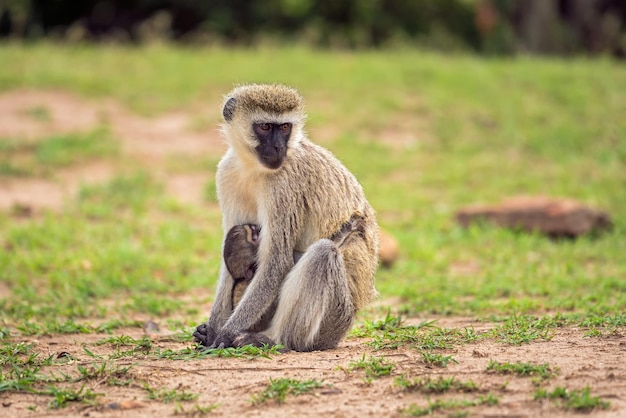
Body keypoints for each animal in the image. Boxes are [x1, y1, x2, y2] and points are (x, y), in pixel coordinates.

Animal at [193, 83, 378, 352]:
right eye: (265, 127)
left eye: (284, 128)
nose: (279, 147)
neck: (252, 167)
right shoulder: (226, 173)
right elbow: (230, 266)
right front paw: (213, 330)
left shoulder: (284, 183)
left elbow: (277, 261)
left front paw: (224, 335)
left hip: (334, 322)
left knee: (322, 253)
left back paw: (276, 339)